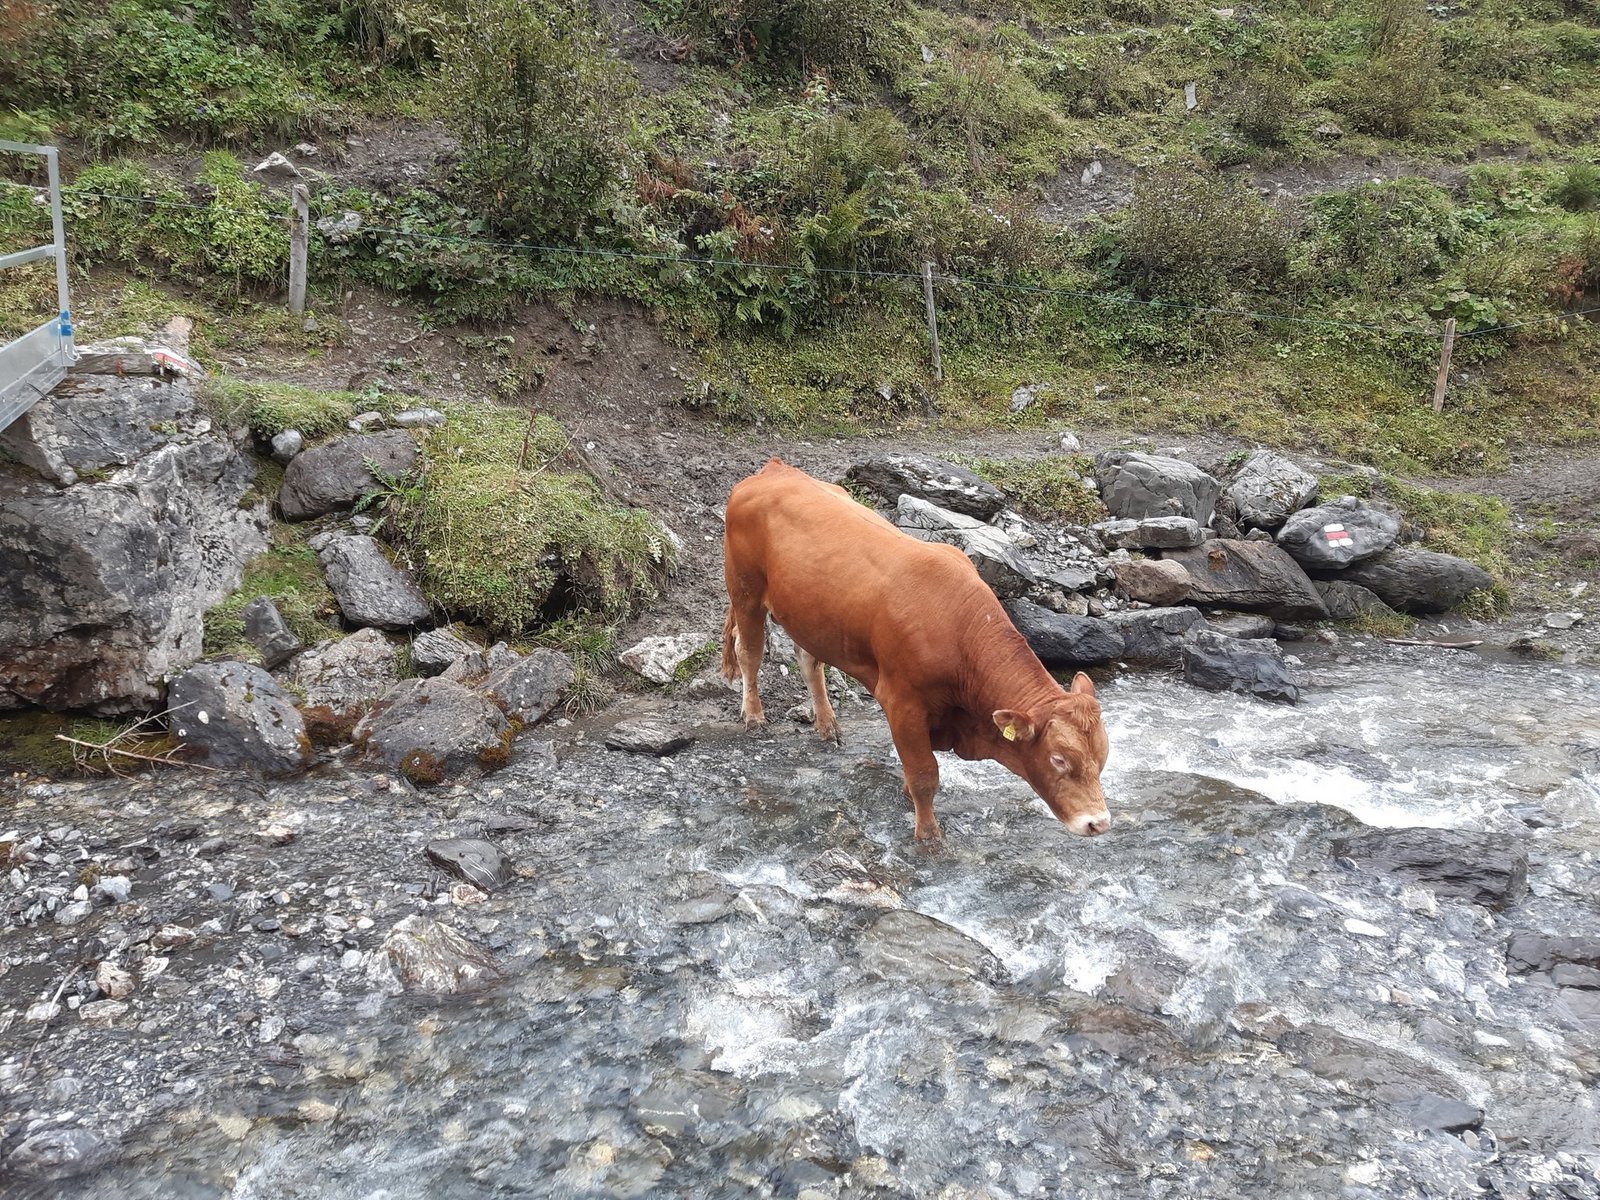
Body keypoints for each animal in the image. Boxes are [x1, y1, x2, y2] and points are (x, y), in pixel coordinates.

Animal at [720, 458, 1112, 842]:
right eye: (1059, 759)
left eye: (1103, 756)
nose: (1099, 823)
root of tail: (775, 470)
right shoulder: (902, 703)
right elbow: (924, 774)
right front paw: (928, 836)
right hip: (745, 590)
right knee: (749, 651)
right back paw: (754, 716)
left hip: (808, 614)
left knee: (808, 659)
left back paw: (827, 724)